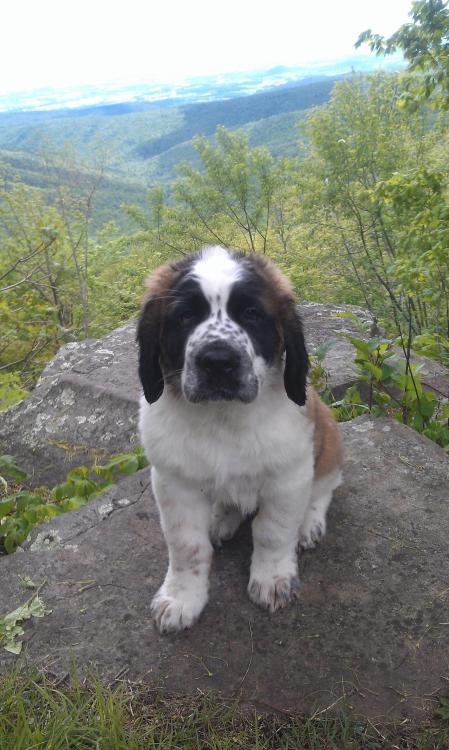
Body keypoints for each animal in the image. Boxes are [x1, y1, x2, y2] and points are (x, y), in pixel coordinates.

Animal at [137, 248, 344, 636]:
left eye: (251, 314)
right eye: (185, 316)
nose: (218, 362)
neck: (223, 417)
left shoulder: (288, 477)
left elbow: (272, 531)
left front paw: (273, 579)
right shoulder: (174, 483)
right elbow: (186, 545)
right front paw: (181, 598)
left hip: (330, 440)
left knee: (324, 488)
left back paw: (309, 524)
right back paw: (221, 517)